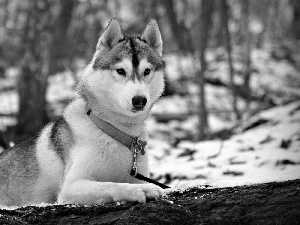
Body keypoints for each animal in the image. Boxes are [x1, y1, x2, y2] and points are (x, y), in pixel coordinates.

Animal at [0, 18, 165, 207]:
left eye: (147, 71)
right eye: (121, 71)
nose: (139, 100)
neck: (117, 132)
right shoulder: (71, 187)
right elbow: (112, 184)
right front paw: (142, 189)